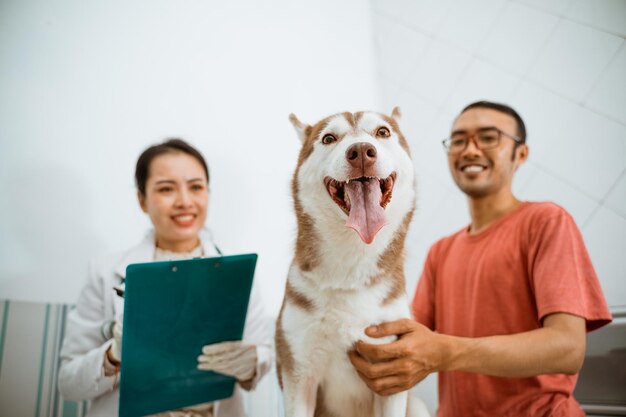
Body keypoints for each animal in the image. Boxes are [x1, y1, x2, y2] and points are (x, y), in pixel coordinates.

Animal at [276, 108, 426, 416]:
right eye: (328, 138)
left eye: (382, 132)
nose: (361, 152)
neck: (352, 266)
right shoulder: (299, 372)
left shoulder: (392, 374)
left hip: (417, 406)